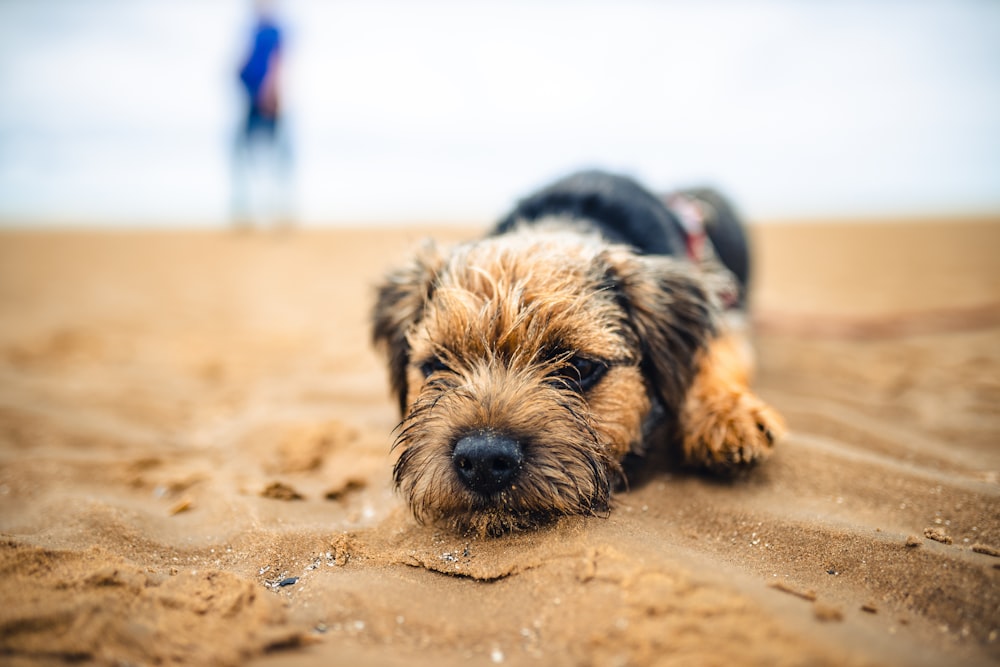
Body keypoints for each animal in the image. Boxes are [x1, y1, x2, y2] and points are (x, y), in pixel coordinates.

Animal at [374, 172, 780, 536]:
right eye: (436, 364)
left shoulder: (727, 313)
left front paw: (728, 415)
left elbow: (716, 353)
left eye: (581, 367)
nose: (483, 459)